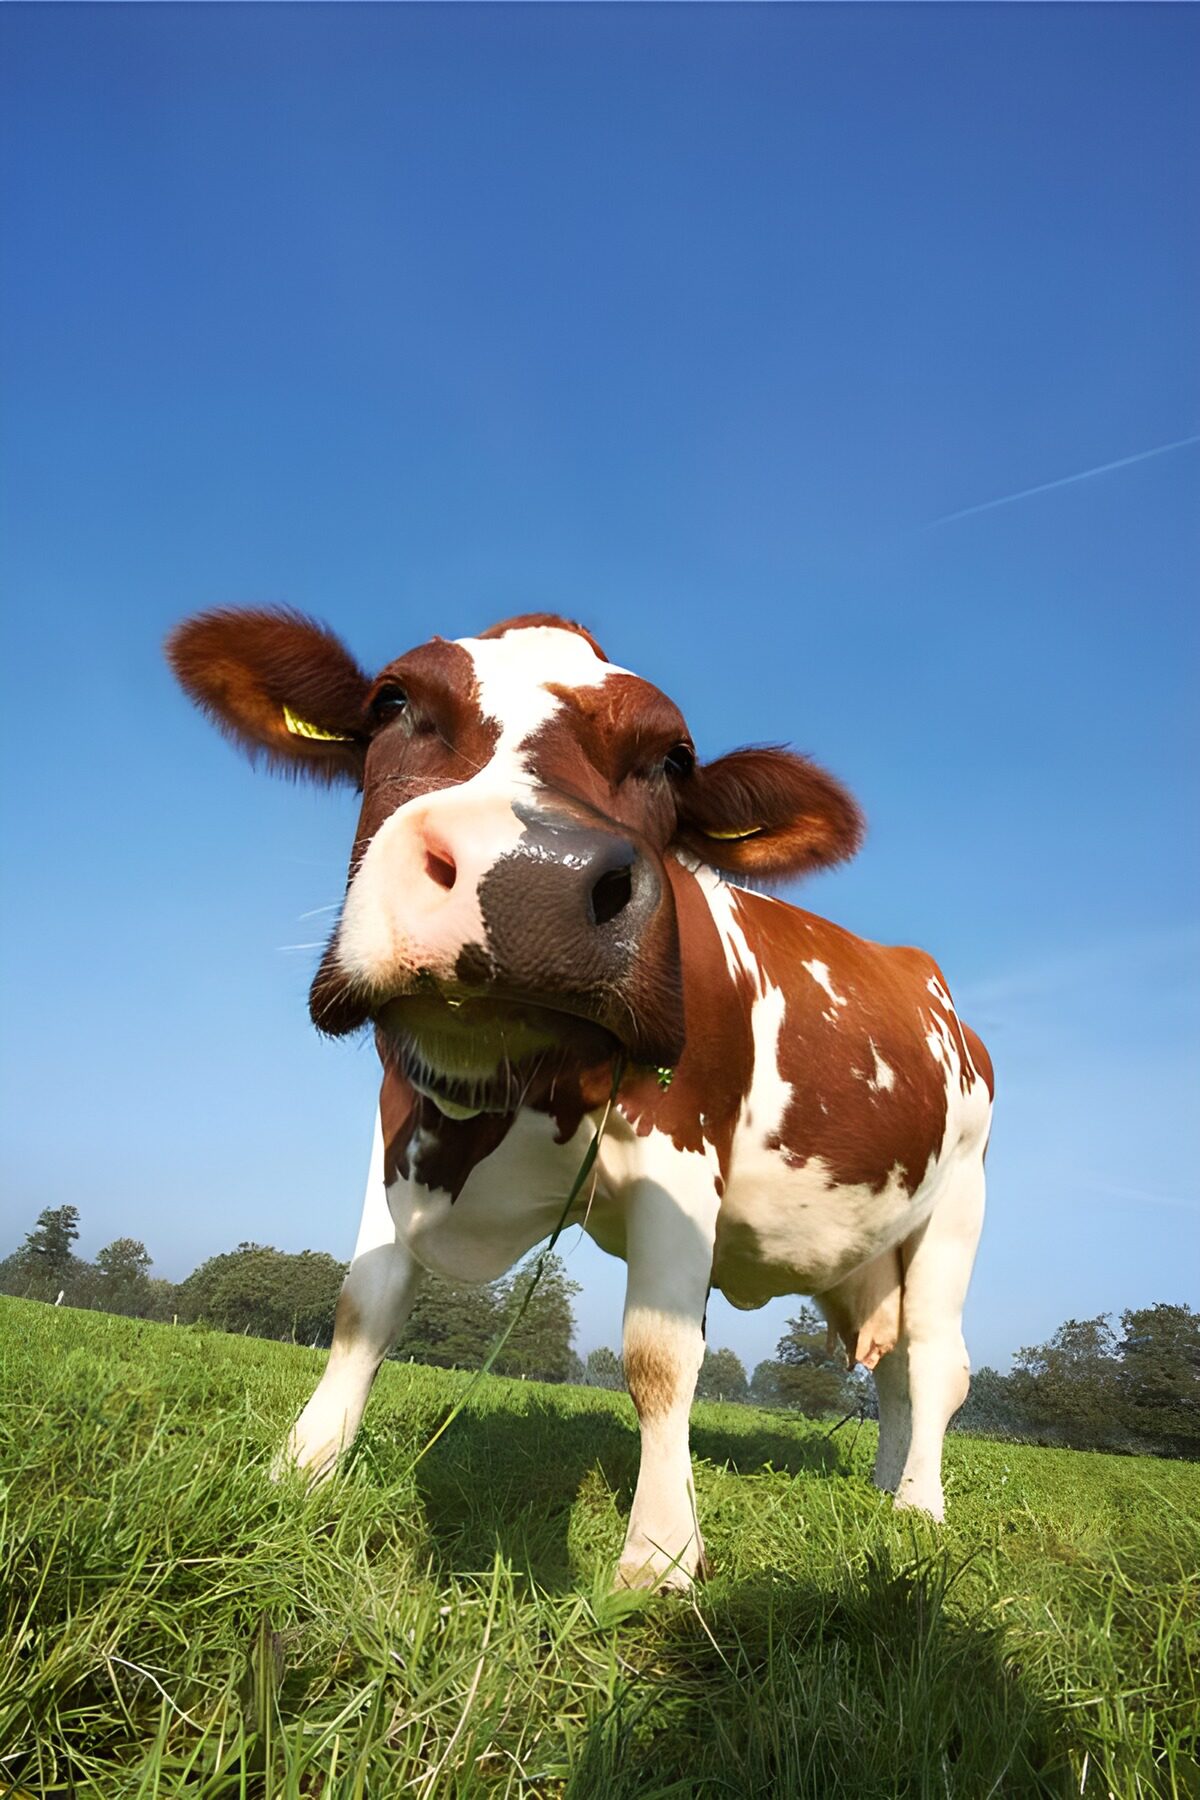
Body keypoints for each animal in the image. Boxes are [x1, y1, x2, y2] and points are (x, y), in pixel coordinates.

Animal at [168, 607, 993, 1590]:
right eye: (392, 701)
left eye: (673, 758)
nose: (529, 878)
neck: (506, 1097)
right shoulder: (399, 1122)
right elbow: (362, 1307)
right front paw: (300, 1471)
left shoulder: (685, 1151)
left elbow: (659, 1354)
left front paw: (661, 1555)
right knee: (894, 1366)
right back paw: (885, 1484)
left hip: (958, 1203)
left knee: (935, 1361)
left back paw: (919, 1508)